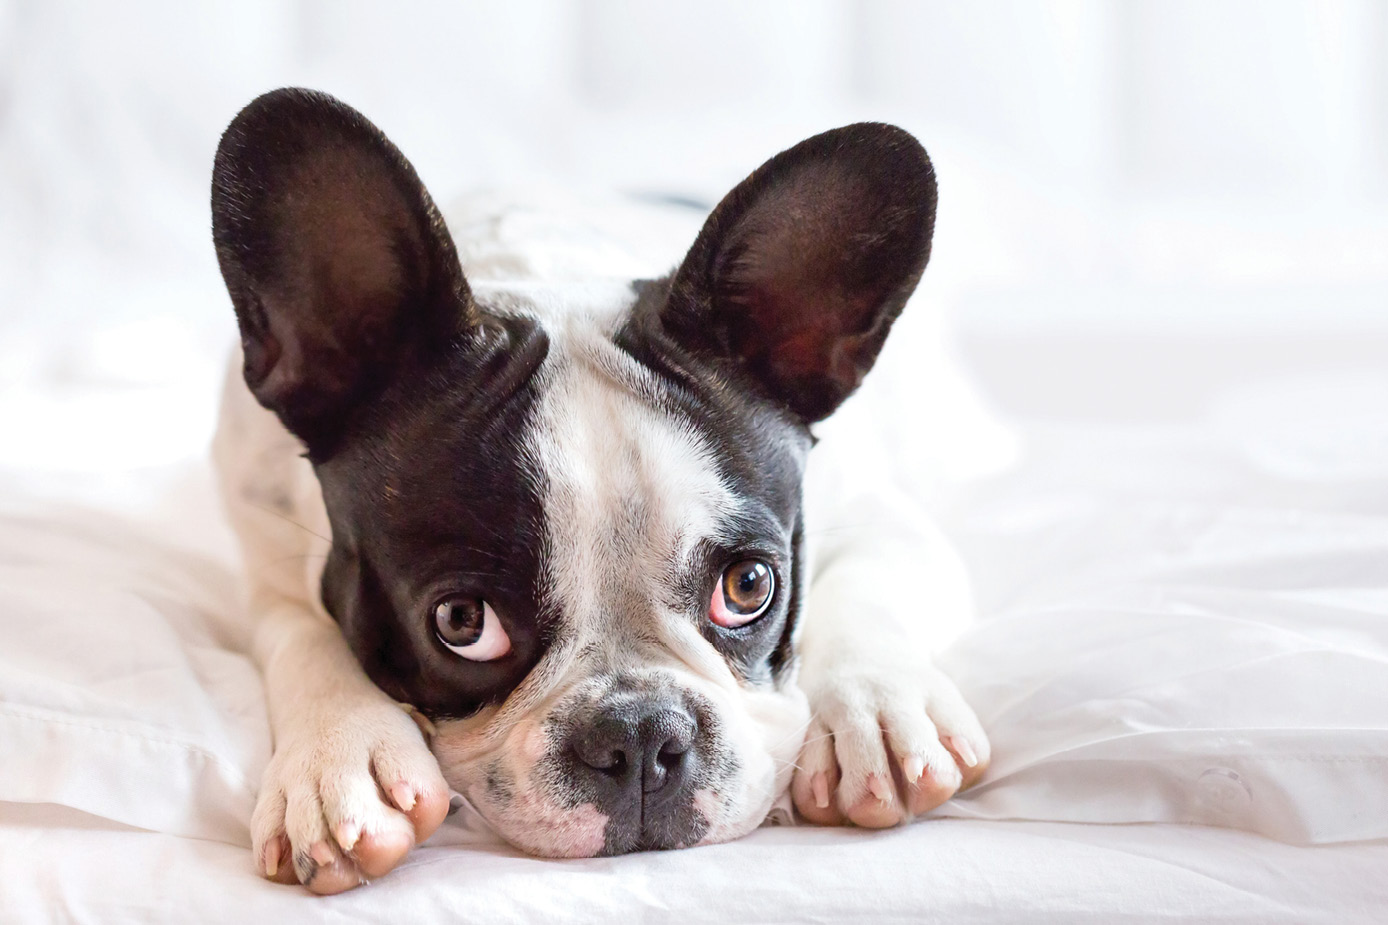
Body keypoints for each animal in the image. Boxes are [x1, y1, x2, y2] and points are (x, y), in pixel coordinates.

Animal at [208, 90, 988, 888]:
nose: (639, 734)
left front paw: (878, 710)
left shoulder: (885, 520)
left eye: (749, 587)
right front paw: (338, 757)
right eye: (462, 622)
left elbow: (866, 588)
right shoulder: (262, 555)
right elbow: (302, 633)